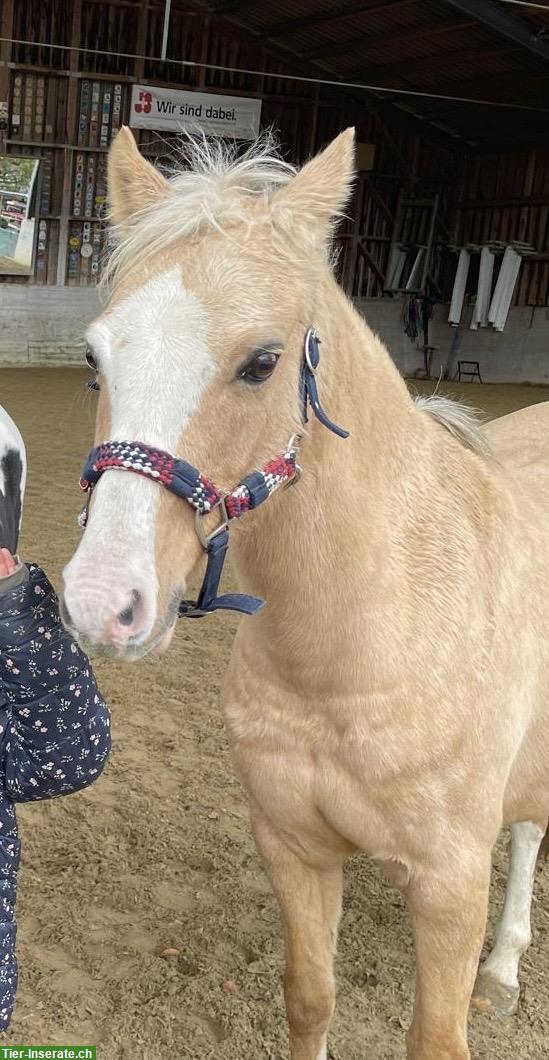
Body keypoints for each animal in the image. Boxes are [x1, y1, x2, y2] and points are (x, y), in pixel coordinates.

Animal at [61, 126, 549, 1060]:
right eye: (94, 358)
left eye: (262, 362)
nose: (103, 602)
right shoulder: (293, 848)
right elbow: (309, 997)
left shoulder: (448, 886)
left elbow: (434, 1036)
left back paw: (504, 970)